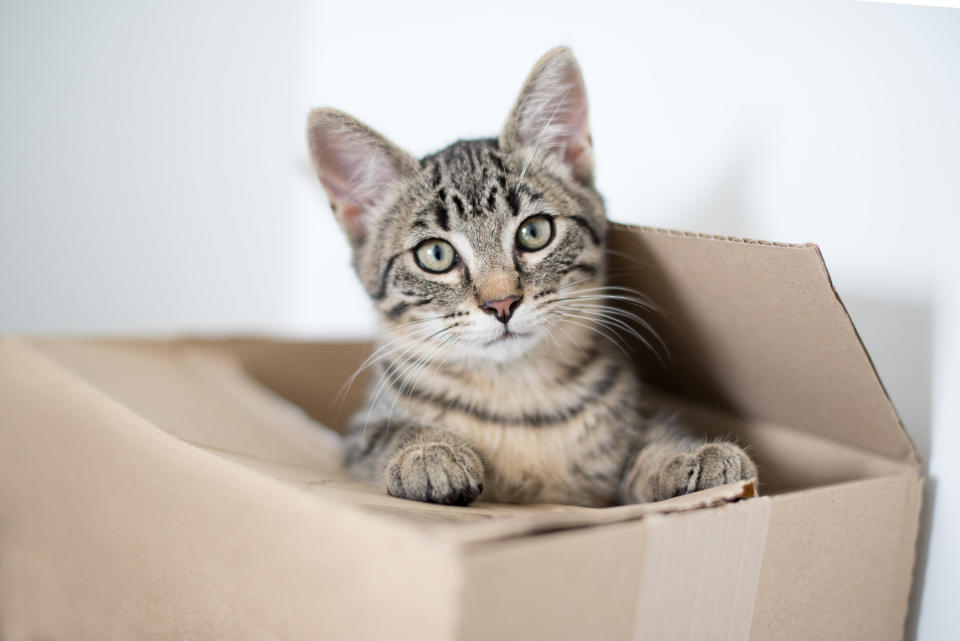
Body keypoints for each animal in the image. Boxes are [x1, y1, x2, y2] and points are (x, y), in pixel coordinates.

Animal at [308, 47, 756, 504]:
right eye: (435, 254)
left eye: (534, 232)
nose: (501, 303)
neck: (517, 395)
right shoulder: (357, 437)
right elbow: (386, 434)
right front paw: (428, 450)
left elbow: (645, 444)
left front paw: (688, 455)